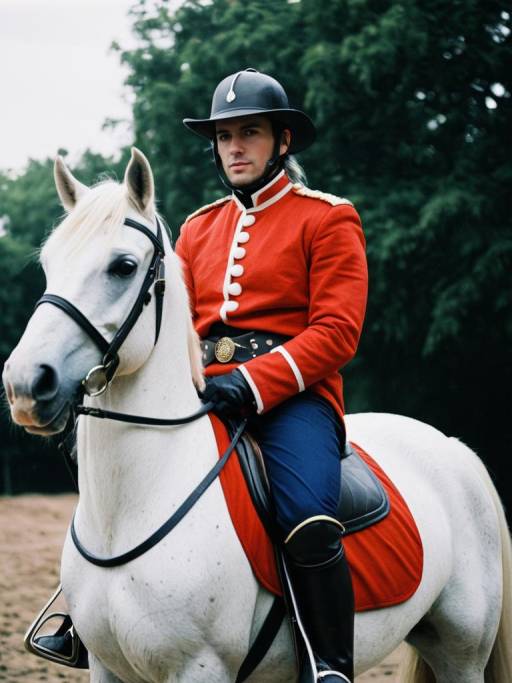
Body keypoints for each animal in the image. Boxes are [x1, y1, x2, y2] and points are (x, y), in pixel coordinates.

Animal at [3, 148, 511, 683]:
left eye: (122, 266)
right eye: (49, 264)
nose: (25, 383)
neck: (133, 506)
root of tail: (452, 447)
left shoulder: (200, 667)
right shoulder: (107, 667)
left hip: (461, 652)